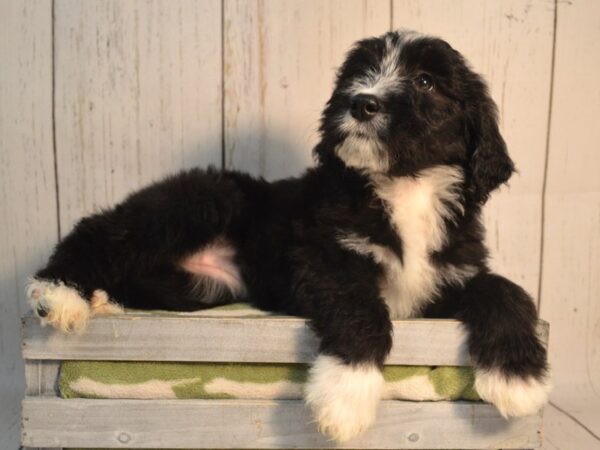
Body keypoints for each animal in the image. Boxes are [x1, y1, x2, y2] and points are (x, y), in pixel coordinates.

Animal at [30, 29, 552, 442]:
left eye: (425, 80)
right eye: (358, 73)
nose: (361, 102)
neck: (405, 187)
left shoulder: (445, 279)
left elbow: (504, 289)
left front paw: (519, 378)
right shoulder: (321, 259)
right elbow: (362, 310)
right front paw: (346, 395)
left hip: (208, 286)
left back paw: (105, 299)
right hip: (201, 201)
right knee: (102, 231)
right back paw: (61, 294)